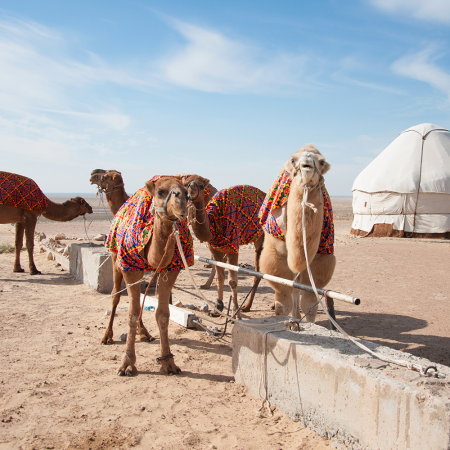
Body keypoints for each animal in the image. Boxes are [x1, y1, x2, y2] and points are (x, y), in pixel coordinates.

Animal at [102, 176, 211, 380]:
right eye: (160, 192)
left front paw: (168, 363)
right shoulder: (130, 268)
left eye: (185, 191)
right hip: (115, 257)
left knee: (139, 299)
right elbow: (131, 313)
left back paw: (144, 334)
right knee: (116, 296)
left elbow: (162, 314)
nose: (181, 200)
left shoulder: (170, 270)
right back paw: (107, 336)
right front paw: (127, 364)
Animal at [193, 185, 268, 318]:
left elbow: (232, 280)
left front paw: (235, 313)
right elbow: (220, 276)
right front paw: (217, 308)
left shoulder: (232, 243)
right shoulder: (215, 246)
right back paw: (247, 306)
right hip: (259, 239)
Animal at [258, 146, 336, 322]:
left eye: (321, 161)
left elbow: (310, 306)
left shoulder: (321, 257)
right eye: (293, 160)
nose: (307, 164)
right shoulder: (275, 254)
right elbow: (283, 304)